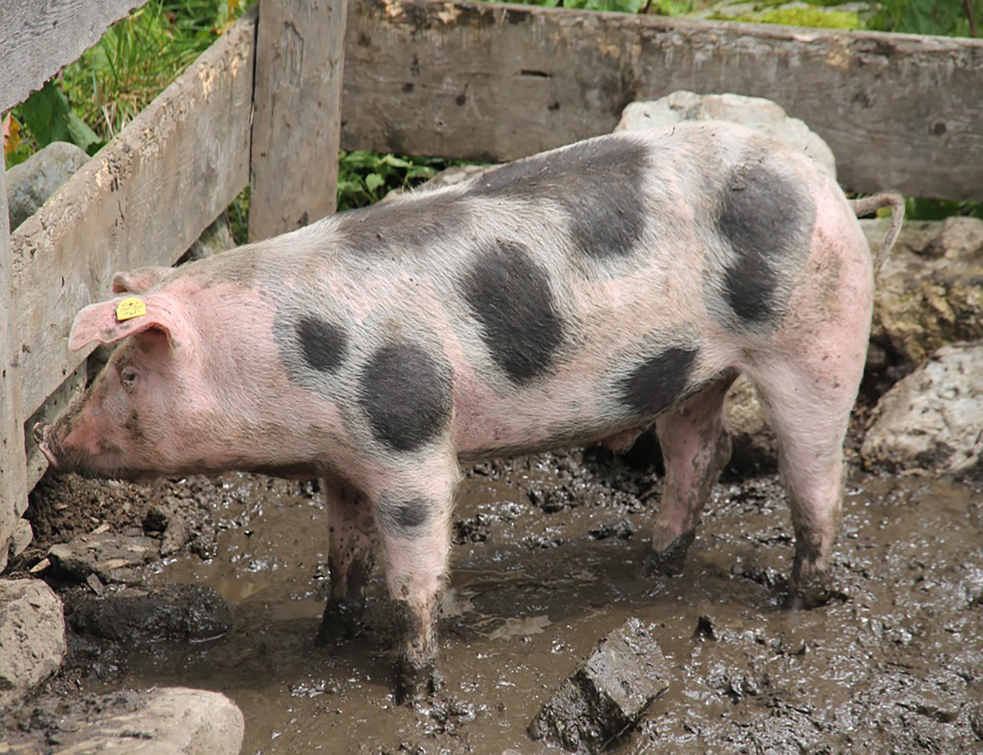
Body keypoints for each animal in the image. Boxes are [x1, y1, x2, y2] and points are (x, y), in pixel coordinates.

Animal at [36, 121, 904, 702]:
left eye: (131, 372)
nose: (47, 435)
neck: (291, 356)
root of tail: (830, 188)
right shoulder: (341, 460)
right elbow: (343, 554)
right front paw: (326, 637)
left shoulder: (409, 437)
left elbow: (414, 566)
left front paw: (412, 688)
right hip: (694, 374)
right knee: (702, 452)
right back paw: (653, 565)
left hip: (816, 341)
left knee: (816, 475)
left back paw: (796, 599)